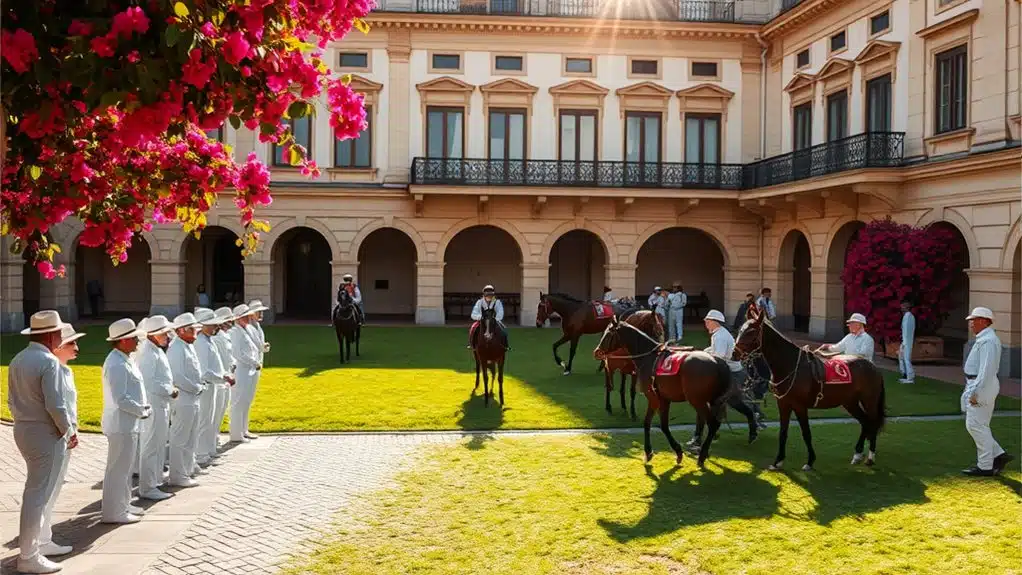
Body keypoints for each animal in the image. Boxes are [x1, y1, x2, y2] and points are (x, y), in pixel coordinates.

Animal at [592, 314, 735, 467]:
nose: (597, 351)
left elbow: (647, 422)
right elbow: (664, 425)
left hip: (698, 401)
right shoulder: (664, 399)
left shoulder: (652, 397)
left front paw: (648, 452)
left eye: (608, 333)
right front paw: (678, 452)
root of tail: (717, 362)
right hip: (712, 401)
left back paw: (702, 455)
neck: (648, 358)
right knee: (715, 423)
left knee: (712, 424)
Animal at [735, 304, 887, 469]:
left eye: (751, 332)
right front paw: (778, 461)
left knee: (872, 422)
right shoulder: (783, 404)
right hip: (850, 402)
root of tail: (873, 367)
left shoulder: (800, 406)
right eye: (741, 329)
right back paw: (857, 454)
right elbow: (783, 432)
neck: (790, 366)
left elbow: (806, 433)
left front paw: (809, 461)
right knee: (864, 422)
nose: (734, 353)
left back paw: (870, 457)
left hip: (869, 401)